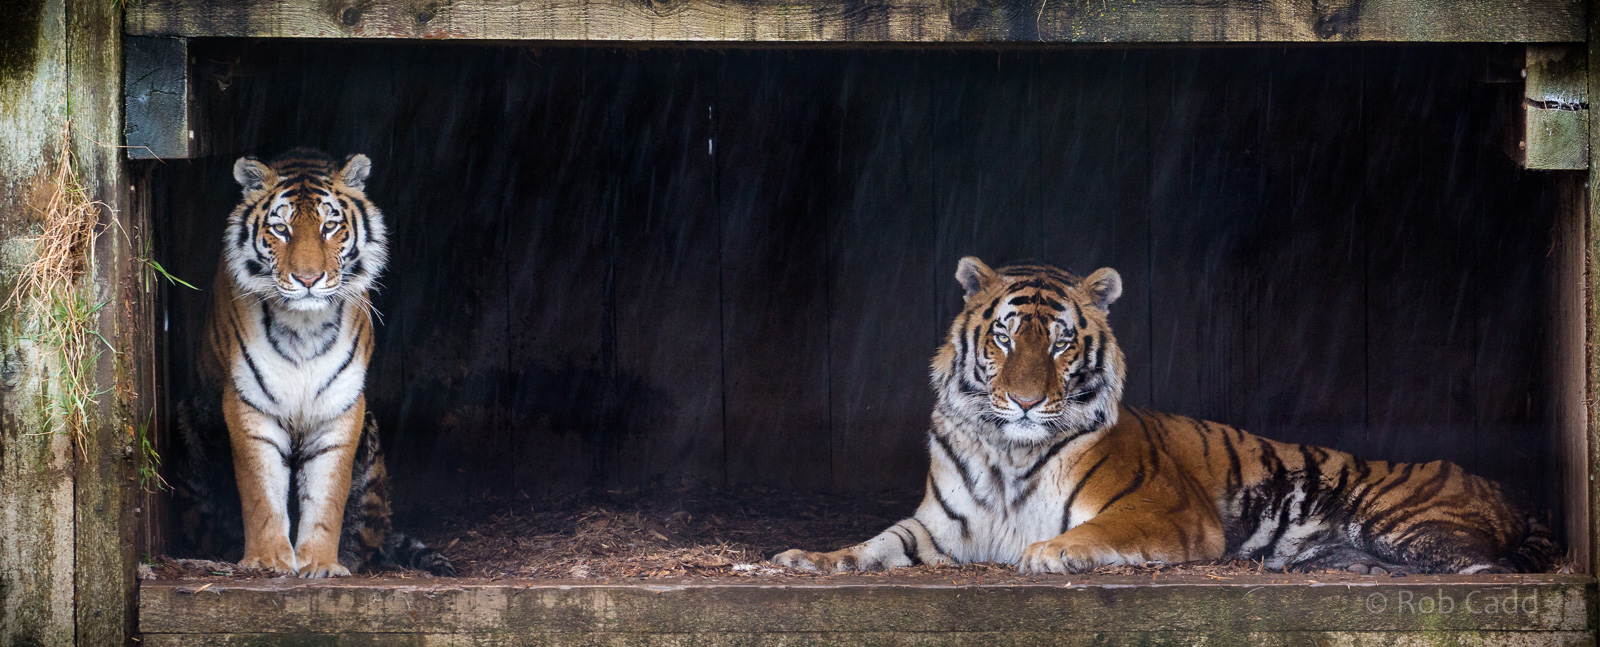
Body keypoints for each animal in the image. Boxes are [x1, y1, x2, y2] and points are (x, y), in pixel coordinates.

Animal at [171, 148, 452, 577]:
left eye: (330, 226)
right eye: (281, 229)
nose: (307, 279)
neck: (304, 325)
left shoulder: (341, 405)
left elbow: (327, 496)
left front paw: (321, 563)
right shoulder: (249, 403)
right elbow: (261, 493)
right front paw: (268, 560)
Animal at [773, 257, 1558, 575]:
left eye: (1059, 341)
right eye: (1003, 336)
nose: (1024, 399)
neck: (1008, 451)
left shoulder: (1167, 509)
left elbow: (1093, 532)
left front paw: (1045, 554)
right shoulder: (942, 525)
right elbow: (876, 543)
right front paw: (810, 559)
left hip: (1401, 523)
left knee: (1480, 568)